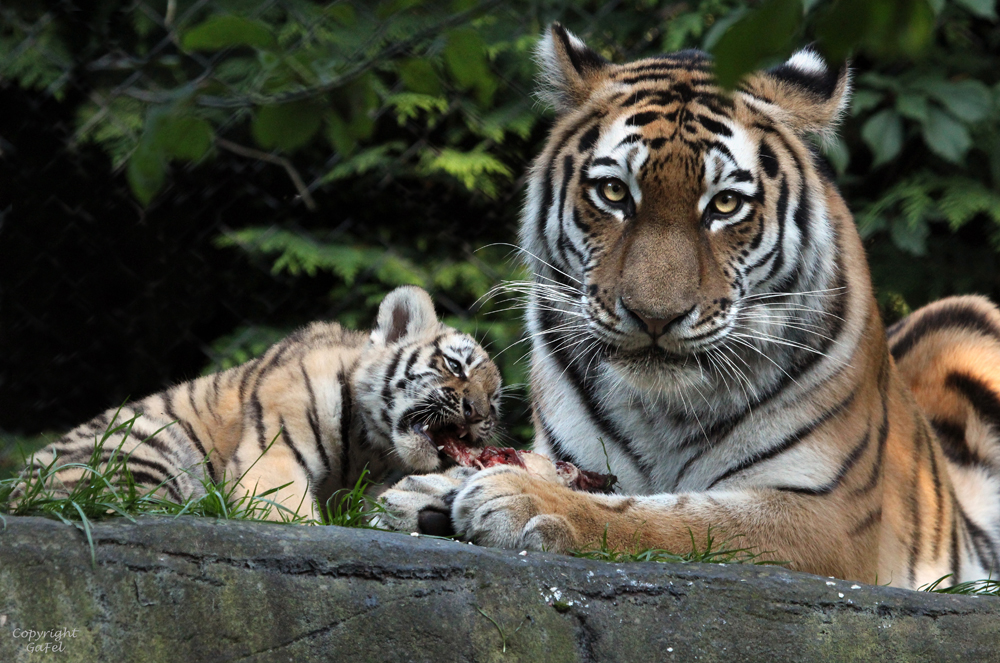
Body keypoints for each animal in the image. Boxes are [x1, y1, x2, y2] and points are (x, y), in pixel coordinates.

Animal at [380, 23, 1000, 588]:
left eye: (724, 204)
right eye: (614, 194)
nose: (655, 317)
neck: (660, 410)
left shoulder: (829, 517)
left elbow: (683, 518)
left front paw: (523, 500)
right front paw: (425, 491)